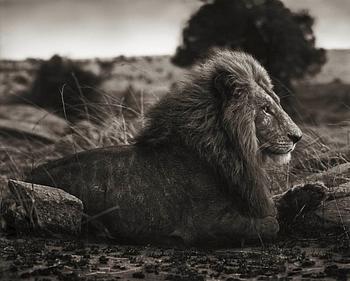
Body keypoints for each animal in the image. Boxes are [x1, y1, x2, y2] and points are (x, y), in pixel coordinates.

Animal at [28, 49, 304, 244]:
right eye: (265, 109)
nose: (297, 136)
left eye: (276, 103)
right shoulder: (204, 223)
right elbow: (272, 224)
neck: (230, 148)